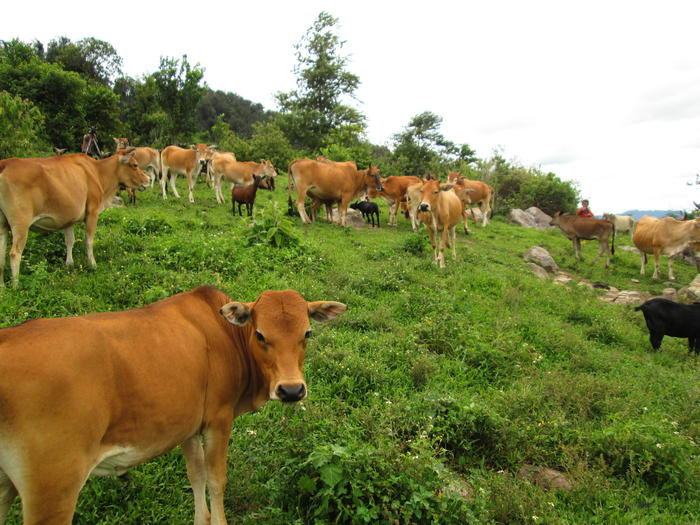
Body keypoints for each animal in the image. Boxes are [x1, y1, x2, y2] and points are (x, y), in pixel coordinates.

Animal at [0, 147, 149, 286]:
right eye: (135, 165)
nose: (148, 179)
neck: (97, 172)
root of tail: (5, 163)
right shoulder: (92, 212)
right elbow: (89, 241)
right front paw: (93, 265)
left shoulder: (68, 218)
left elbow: (69, 241)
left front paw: (69, 265)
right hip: (21, 224)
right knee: (14, 254)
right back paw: (16, 285)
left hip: (3, 226)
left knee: (1, 256)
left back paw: (2, 286)